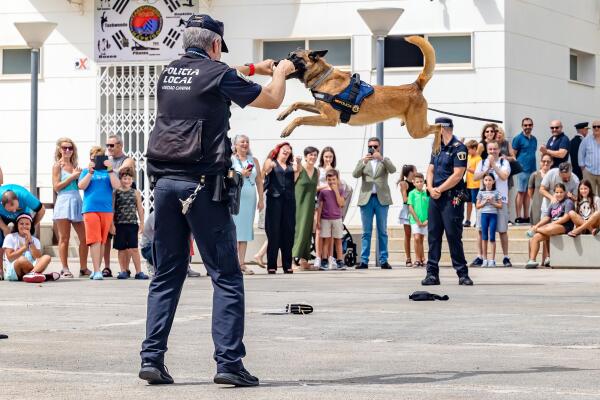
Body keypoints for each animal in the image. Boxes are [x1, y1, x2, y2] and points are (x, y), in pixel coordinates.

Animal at [276, 35, 440, 152]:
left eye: (295, 57)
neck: (322, 77)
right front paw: (283, 114)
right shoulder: (319, 109)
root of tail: (415, 85)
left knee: (439, 127)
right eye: (288, 54)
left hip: (416, 130)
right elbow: (297, 103)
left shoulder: (329, 119)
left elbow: (300, 118)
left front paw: (287, 129)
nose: (276, 63)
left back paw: (436, 147)